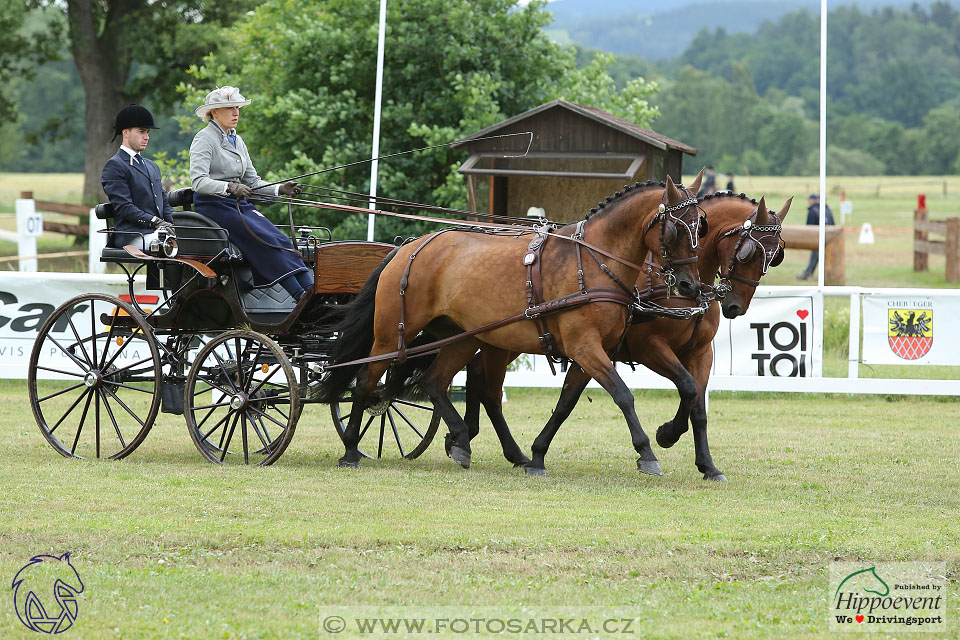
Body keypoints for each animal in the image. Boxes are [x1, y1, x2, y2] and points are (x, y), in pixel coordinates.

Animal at [318, 172, 700, 472]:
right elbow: (623, 395)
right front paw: (647, 453)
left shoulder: (590, 352)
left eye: (703, 226)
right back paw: (350, 448)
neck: (593, 259)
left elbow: (567, 403)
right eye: (678, 230)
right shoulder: (585, 346)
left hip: (463, 337)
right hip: (391, 333)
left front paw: (537, 454)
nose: (689, 286)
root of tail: (408, 247)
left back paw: (466, 441)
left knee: (435, 381)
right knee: (366, 379)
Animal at [462, 195, 792, 480]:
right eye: (749, 252)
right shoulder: (648, 348)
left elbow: (698, 408)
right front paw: (667, 434)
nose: (736, 305)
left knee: (477, 377)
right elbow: (686, 387)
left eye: (775, 255)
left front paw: (708, 466)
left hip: (506, 338)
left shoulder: (700, 352)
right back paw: (469, 440)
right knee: (485, 386)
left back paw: (469, 438)